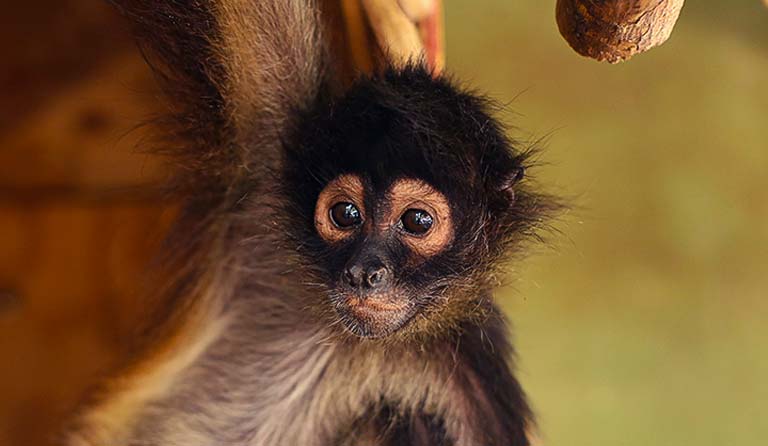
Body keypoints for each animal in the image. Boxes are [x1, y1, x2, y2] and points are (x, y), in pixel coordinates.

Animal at [67, 1, 558, 445]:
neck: (350, 340)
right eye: (345, 214)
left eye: (417, 220)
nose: (364, 272)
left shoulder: (469, 373)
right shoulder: (270, 165)